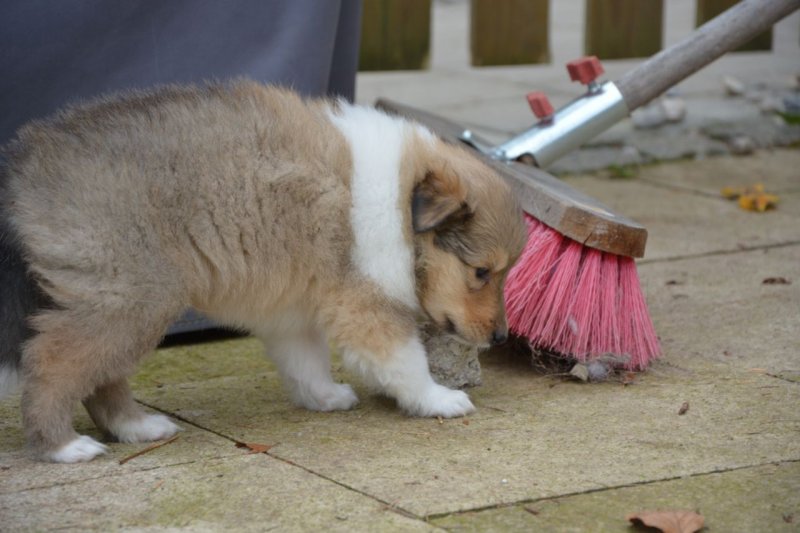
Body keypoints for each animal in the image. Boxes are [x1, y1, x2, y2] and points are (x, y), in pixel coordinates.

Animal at [0, 81, 526, 463]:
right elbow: (405, 361)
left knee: (100, 375)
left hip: (124, 303)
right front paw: (438, 399)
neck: (399, 204)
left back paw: (138, 427)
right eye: (482, 272)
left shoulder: (293, 307)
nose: (501, 338)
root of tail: (21, 169)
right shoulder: (366, 301)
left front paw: (325, 397)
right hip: (129, 296)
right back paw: (63, 447)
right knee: (50, 362)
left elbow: (306, 359)